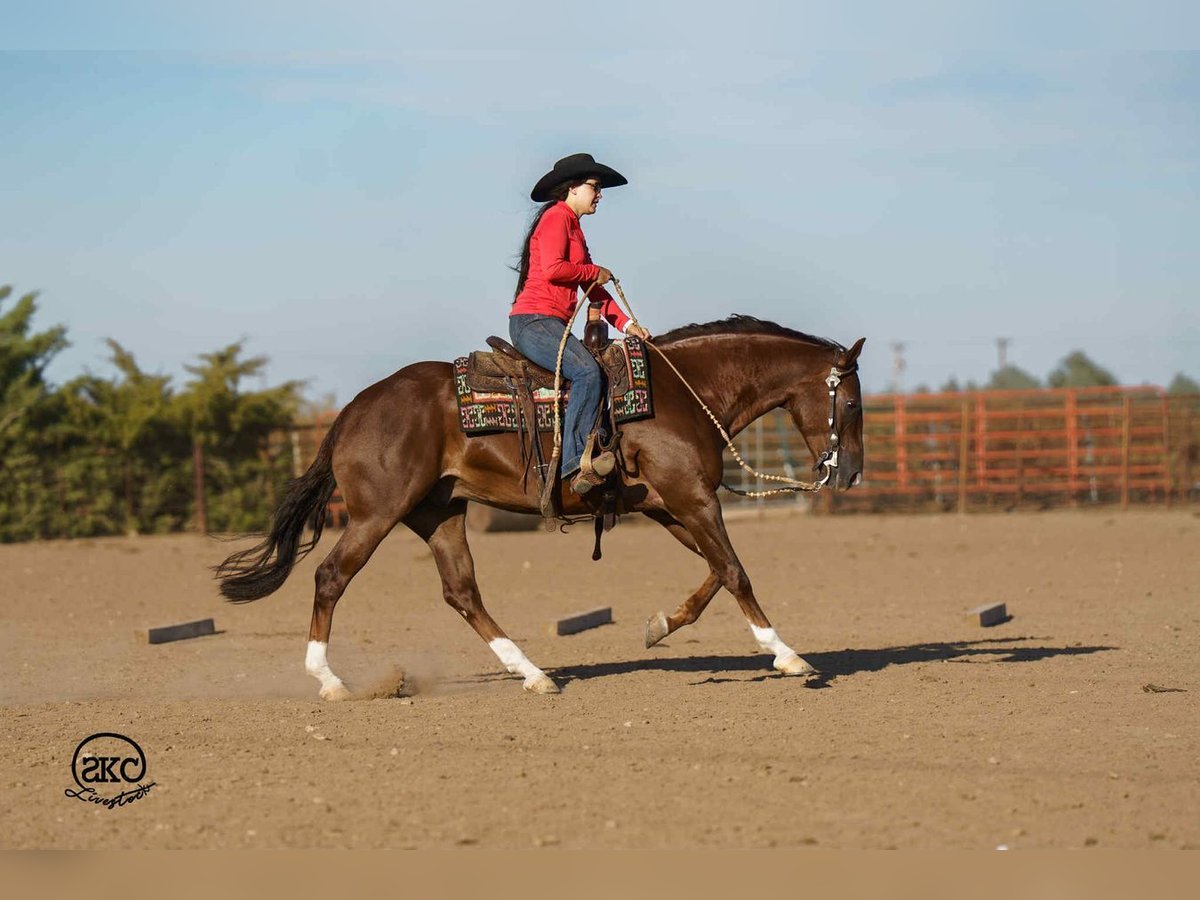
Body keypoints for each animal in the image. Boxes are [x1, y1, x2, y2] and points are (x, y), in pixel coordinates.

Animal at [216, 316, 866, 698]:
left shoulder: (672, 505)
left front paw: (660, 625)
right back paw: (328, 680)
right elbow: (734, 569)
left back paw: (533, 674)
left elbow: (714, 572)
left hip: (439, 514)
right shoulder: (691, 498)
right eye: (855, 402)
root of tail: (352, 410)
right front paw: (789, 657)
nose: (851, 472)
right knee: (330, 576)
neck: (682, 393)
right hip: (377, 514)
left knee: (462, 593)